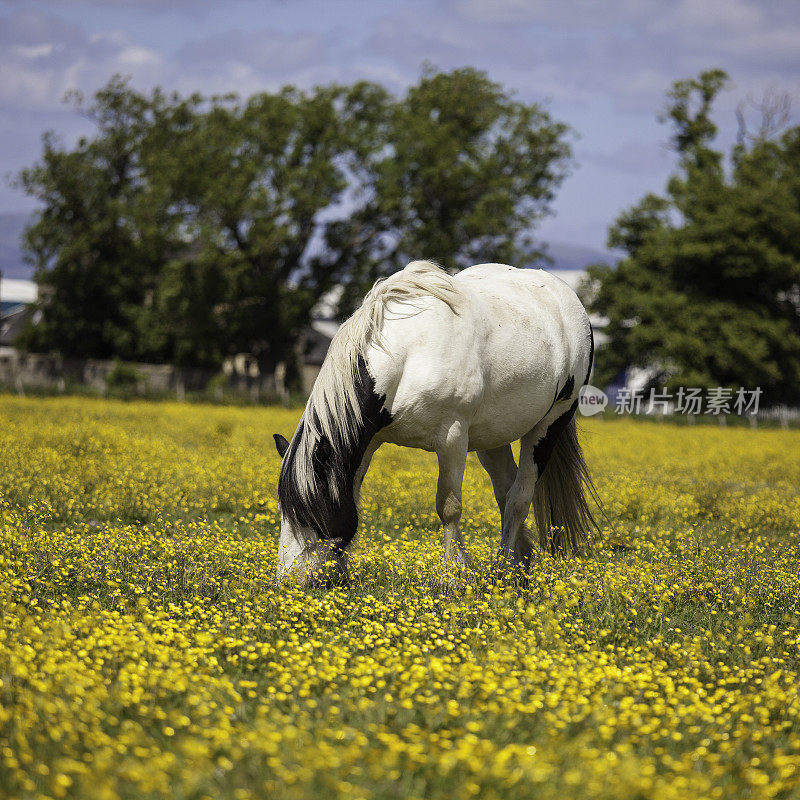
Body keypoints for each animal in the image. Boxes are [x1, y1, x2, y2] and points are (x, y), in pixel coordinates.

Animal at [272, 260, 596, 584]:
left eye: (308, 513)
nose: (289, 580)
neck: (409, 354)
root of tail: (565, 296)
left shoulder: (453, 439)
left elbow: (449, 507)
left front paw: (452, 576)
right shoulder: (368, 442)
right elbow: (351, 494)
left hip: (549, 425)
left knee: (518, 498)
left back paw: (504, 570)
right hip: (493, 436)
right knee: (505, 492)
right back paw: (519, 564)